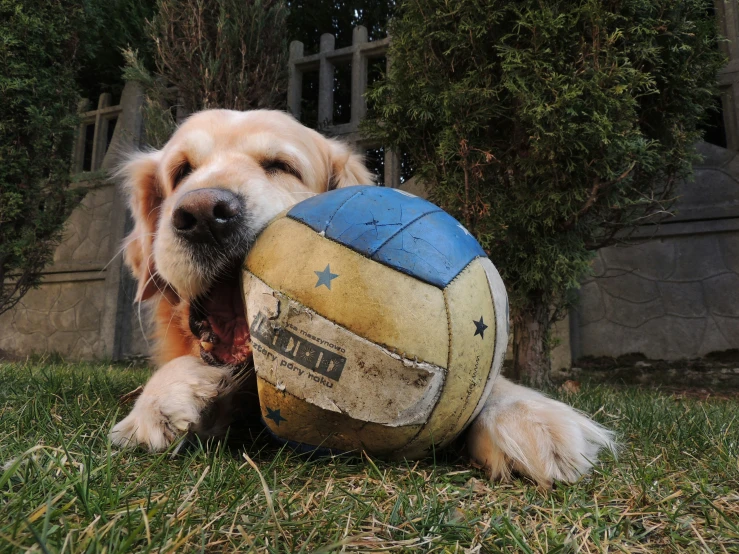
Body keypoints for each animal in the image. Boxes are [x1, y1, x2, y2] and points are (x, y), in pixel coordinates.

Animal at [110, 110, 616, 486]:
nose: (202, 214)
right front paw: (166, 394)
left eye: (280, 165)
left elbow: (491, 385)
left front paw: (530, 415)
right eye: (181, 171)